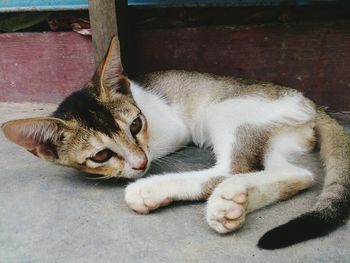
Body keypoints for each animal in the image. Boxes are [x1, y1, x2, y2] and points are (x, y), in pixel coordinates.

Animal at [2, 36, 350, 250]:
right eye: (101, 155)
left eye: (136, 125)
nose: (140, 164)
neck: (136, 97)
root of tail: (309, 101)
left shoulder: (171, 132)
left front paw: (142, 175)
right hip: (278, 137)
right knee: (297, 175)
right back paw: (231, 202)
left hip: (225, 109)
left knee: (232, 168)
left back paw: (157, 191)